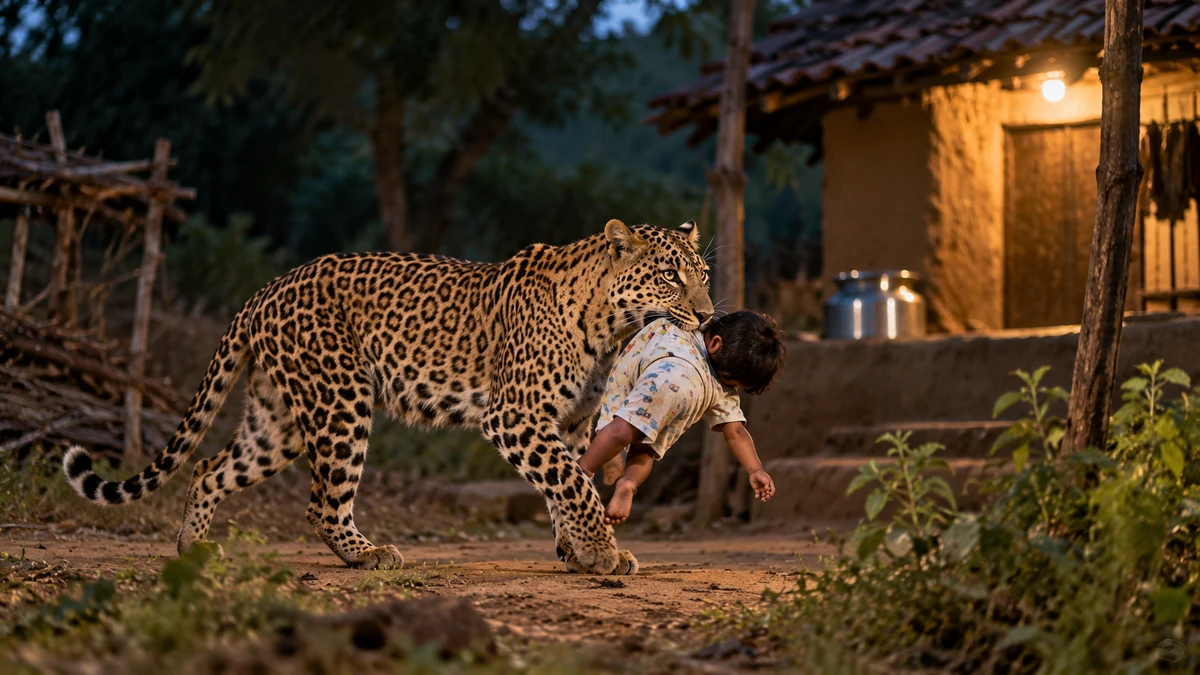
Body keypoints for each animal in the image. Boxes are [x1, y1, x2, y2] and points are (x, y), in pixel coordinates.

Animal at [62, 219, 714, 575]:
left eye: (703, 275)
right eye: (669, 276)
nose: (708, 316)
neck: (608, 325)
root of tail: (267, 289)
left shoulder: (571, 422)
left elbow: (568, 482)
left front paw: (577, 552)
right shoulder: (514, 416)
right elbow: (574, 483)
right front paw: (601, 553)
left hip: (278, 420)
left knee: (209, 467)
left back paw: (191, 549)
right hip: (340, 400)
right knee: (321, 503)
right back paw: (367, 554)